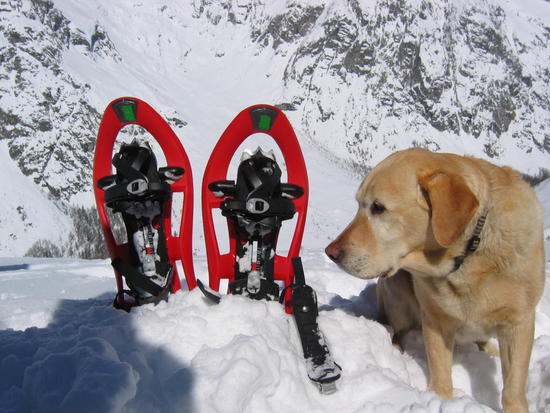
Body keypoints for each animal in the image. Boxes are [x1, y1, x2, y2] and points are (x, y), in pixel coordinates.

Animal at [326, 148, 544, 412]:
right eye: (359, 204)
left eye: (378, 207)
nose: (331, 252)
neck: (467, 257)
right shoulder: (434, 319)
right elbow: (440, 371)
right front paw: (443, 398)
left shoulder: (519, 323)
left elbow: (513, 385)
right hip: (396, 293)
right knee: (395, 329)